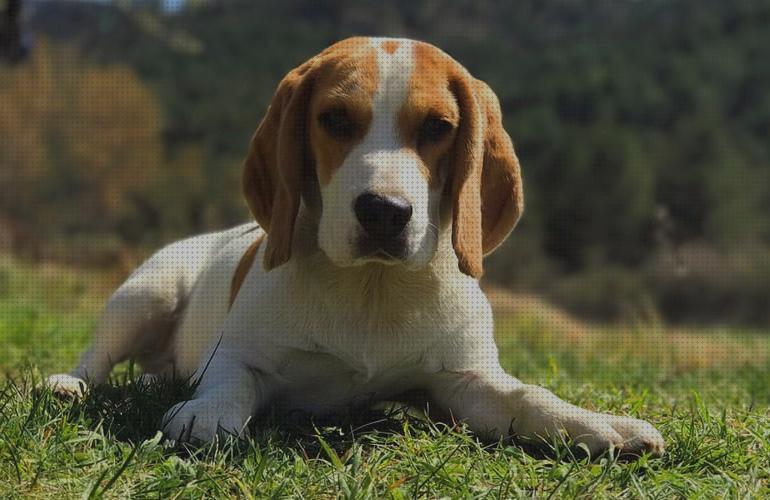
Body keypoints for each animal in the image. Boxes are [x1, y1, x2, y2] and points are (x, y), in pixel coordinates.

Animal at [46, 36, 660, 458]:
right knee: (97, 356)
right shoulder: (239, 354)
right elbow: (231, 381)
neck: (372, 288)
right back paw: (70, 385)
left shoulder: (466, 380)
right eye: (334, 119)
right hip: (144, 293)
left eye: (438, 127)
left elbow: (529, 396)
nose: (384, 212)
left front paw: (597, 423)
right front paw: (207, 412)